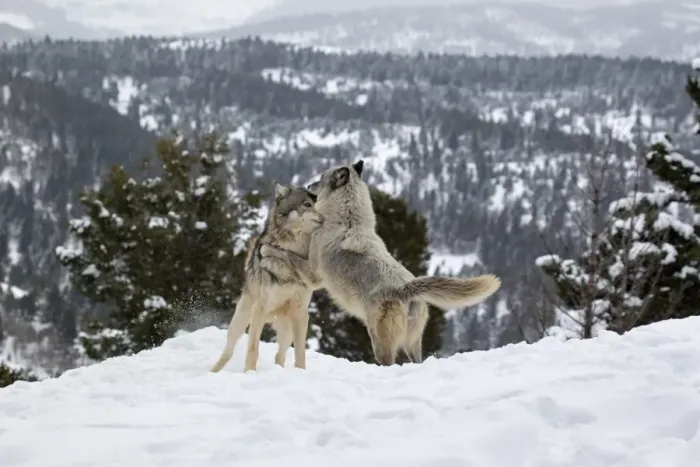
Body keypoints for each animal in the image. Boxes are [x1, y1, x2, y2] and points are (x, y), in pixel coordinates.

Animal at [210, 183, 322, 373]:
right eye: (307, 205)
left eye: (318, 203)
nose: (325, 219)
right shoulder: (259, 309)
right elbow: (253, 348)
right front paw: (250, 373)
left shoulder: (301, 313)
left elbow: (300, 353)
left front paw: (301, 372)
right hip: (241, 321)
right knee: (228, 350)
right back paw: (213, 371)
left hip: (287, 330)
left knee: (279, 356)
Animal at [263, 160, 501, 366]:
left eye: (319, 179)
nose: (307, 187)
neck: (346, 218)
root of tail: (407, 289)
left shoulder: (314, 274)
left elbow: (286, 254)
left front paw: (267, 248)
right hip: (411, 344)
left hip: (379, 342)